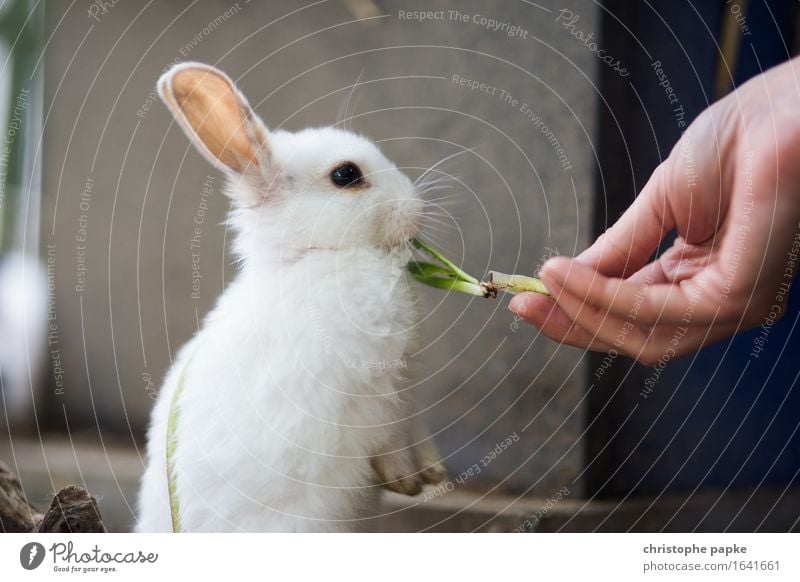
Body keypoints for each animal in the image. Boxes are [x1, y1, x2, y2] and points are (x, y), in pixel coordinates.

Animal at [136, 62, 444, 532]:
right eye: (346, 175)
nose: (418, 211)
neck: (312, 257)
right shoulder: (375, 399)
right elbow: (388, 441)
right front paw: (405, 480)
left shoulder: (410, 392)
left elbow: (418, 432)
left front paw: (432, 472)